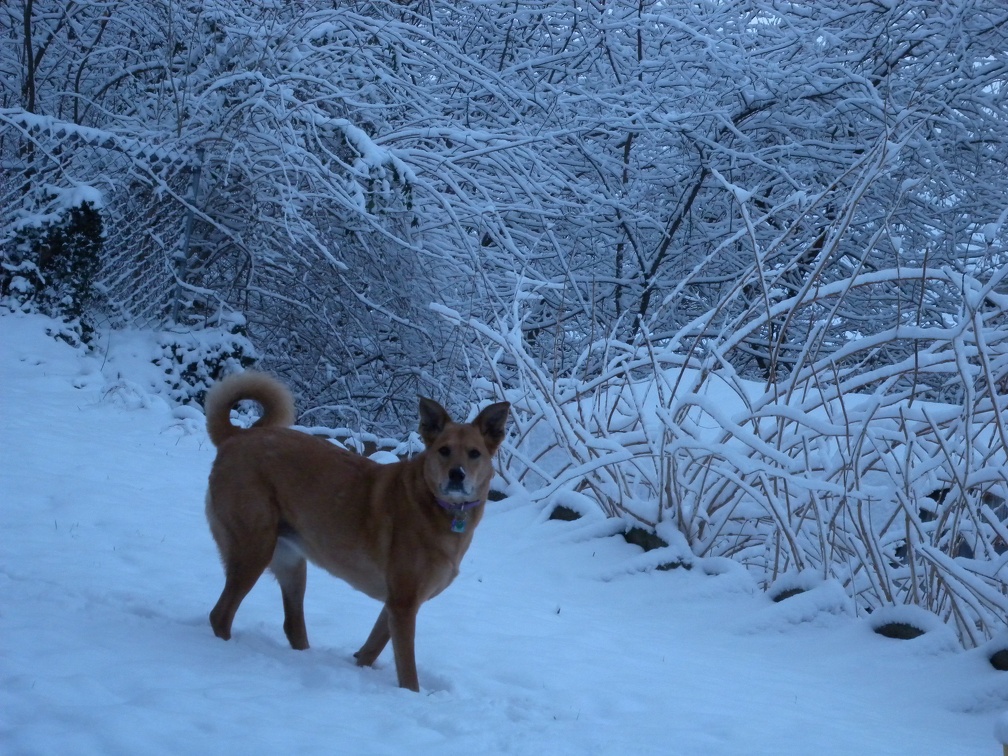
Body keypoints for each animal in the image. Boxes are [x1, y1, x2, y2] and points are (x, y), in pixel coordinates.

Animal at [202, 372, 512, 693]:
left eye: (474, 453)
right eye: (444, 450)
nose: (456, 474)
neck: (437, 506)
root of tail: (236, 436)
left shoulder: (397, 603)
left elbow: (371, 649)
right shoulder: (403, 604)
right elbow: (408, 672)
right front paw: (411, 696)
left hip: (292, 562)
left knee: (292, 624)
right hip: (253, 549)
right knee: (220, 615)